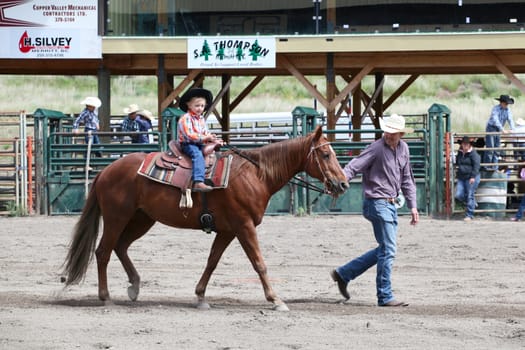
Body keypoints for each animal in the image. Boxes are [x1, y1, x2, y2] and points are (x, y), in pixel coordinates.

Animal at [61, 125, 348, 308]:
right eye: (325, 154)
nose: (343, 183)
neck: (256, 174)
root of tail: (106, 170)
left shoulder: (228, 230)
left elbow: (212, 262)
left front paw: (200, 297)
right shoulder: (244, 226)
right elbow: (259, 263)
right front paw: (276, 300)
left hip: (142, 219)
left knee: (120, 247)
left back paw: (134, 286)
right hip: (117, 218)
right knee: (103, 252)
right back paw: (106, 297)